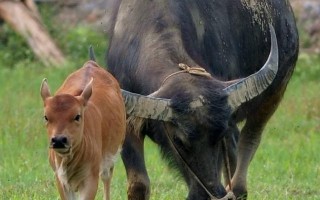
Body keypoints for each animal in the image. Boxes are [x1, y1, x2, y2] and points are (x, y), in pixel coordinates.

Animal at [40, 61, 125, 200]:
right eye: (46, 117)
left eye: (77, 116)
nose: (59, 140)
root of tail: (91, 63)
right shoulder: (59, 178)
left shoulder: (91, 177)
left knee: (106, 179)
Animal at [106, 0, 298, 199]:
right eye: (178, 140)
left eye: (218, 135)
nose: (209, 193)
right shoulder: (127, 124)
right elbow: (139, 185)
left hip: (274, 94)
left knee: (249, 139)